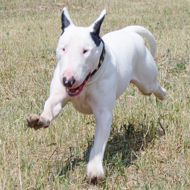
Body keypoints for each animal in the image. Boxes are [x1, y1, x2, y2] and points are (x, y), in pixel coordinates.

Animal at [27, 7, 166, 180]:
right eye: (63, 48)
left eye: (85, 51)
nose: (68, 80)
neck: (88, 81)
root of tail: (129, 31)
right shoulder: (58, 96)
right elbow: (51, 105)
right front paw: (39, 119)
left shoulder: (103, 113)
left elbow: (99, 142)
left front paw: (94, 168)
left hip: (146, 82)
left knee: (154, 87)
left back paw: (162, 94)